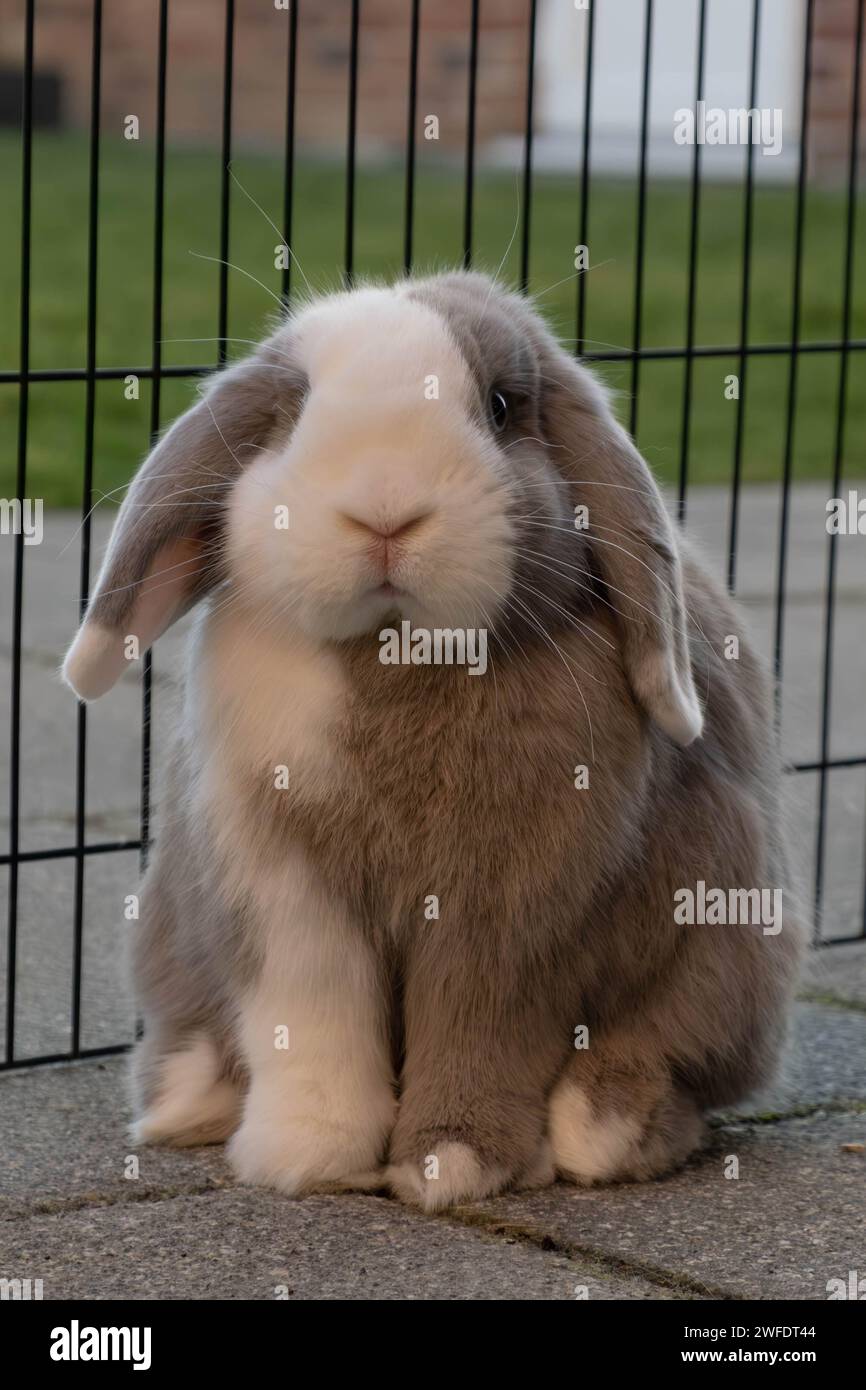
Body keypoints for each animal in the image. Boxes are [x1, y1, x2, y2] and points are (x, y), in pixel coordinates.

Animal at [62, 268, 806, 1206]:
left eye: (501, 405)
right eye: (293, 410)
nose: (385, 512)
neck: (395, 656)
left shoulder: (516, 914)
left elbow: (482, 1024)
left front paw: (450, 1165)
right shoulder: (282, 890)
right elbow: (310, 1016)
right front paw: (309, 1157)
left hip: (726, 953)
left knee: (676, 1062)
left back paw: (605, 1127)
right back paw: (189, 1100)